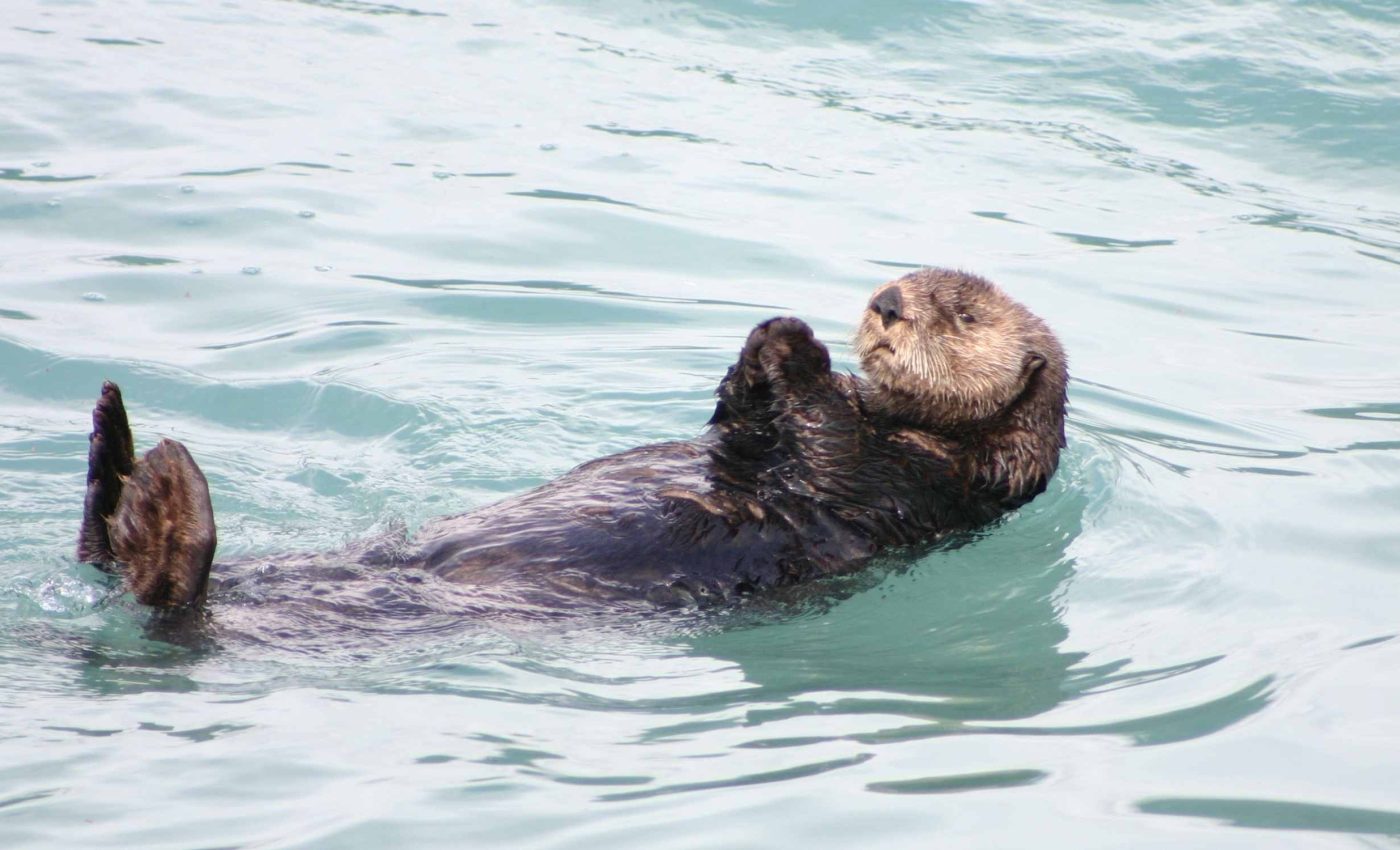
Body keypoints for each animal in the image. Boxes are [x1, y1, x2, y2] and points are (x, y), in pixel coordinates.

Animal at [76, 269, 1068, 613]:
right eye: (902, 277)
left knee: (175, 602)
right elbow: (739, 426)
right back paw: (116, 457)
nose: (886, 303)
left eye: (964, 313)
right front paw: (764, 349)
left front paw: (794, 346)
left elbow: (827, 446)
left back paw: (158, 503)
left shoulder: (926, 484)